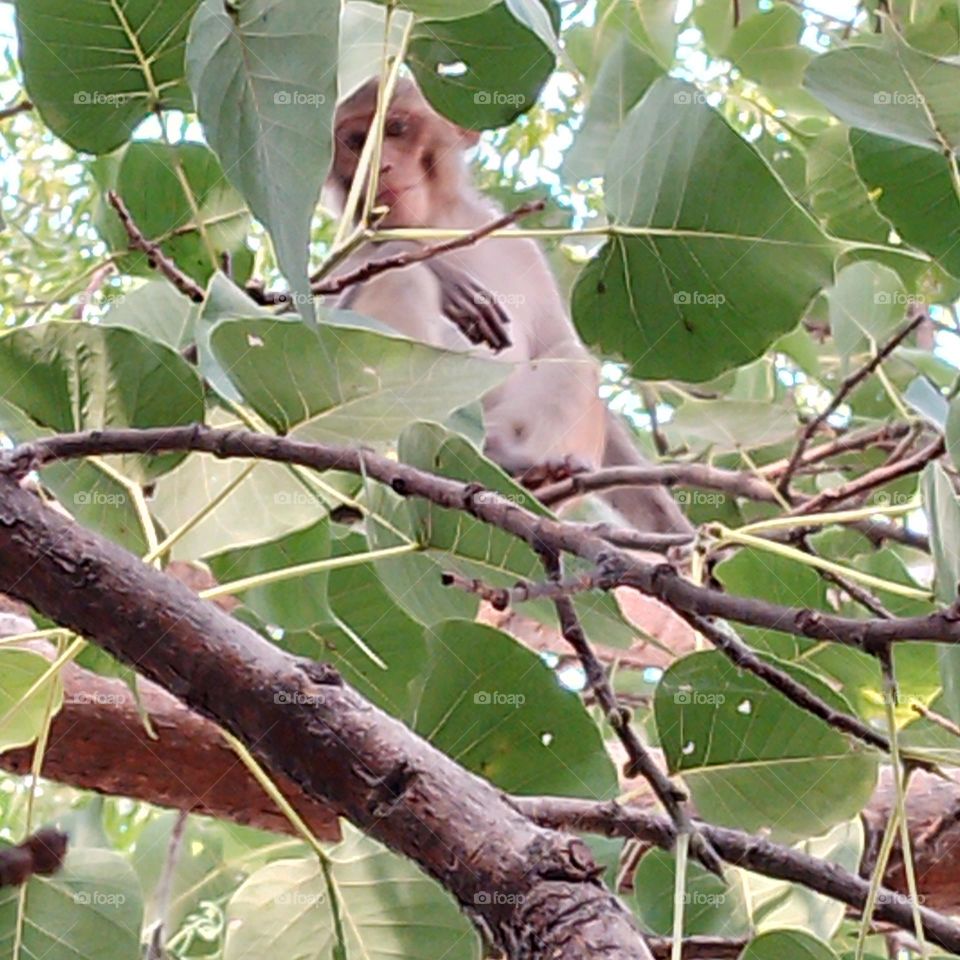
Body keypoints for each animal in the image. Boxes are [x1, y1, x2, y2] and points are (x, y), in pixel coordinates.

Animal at [324, 76, 691, 536]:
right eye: (356, 141)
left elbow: (554, 344)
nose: (381, 166)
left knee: (571, 357)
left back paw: (529, 472)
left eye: (395, 129)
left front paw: (678, 534)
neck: (438, 223)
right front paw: (426, 262)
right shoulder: (346, 255)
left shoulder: (523, 250)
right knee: (400, 281)